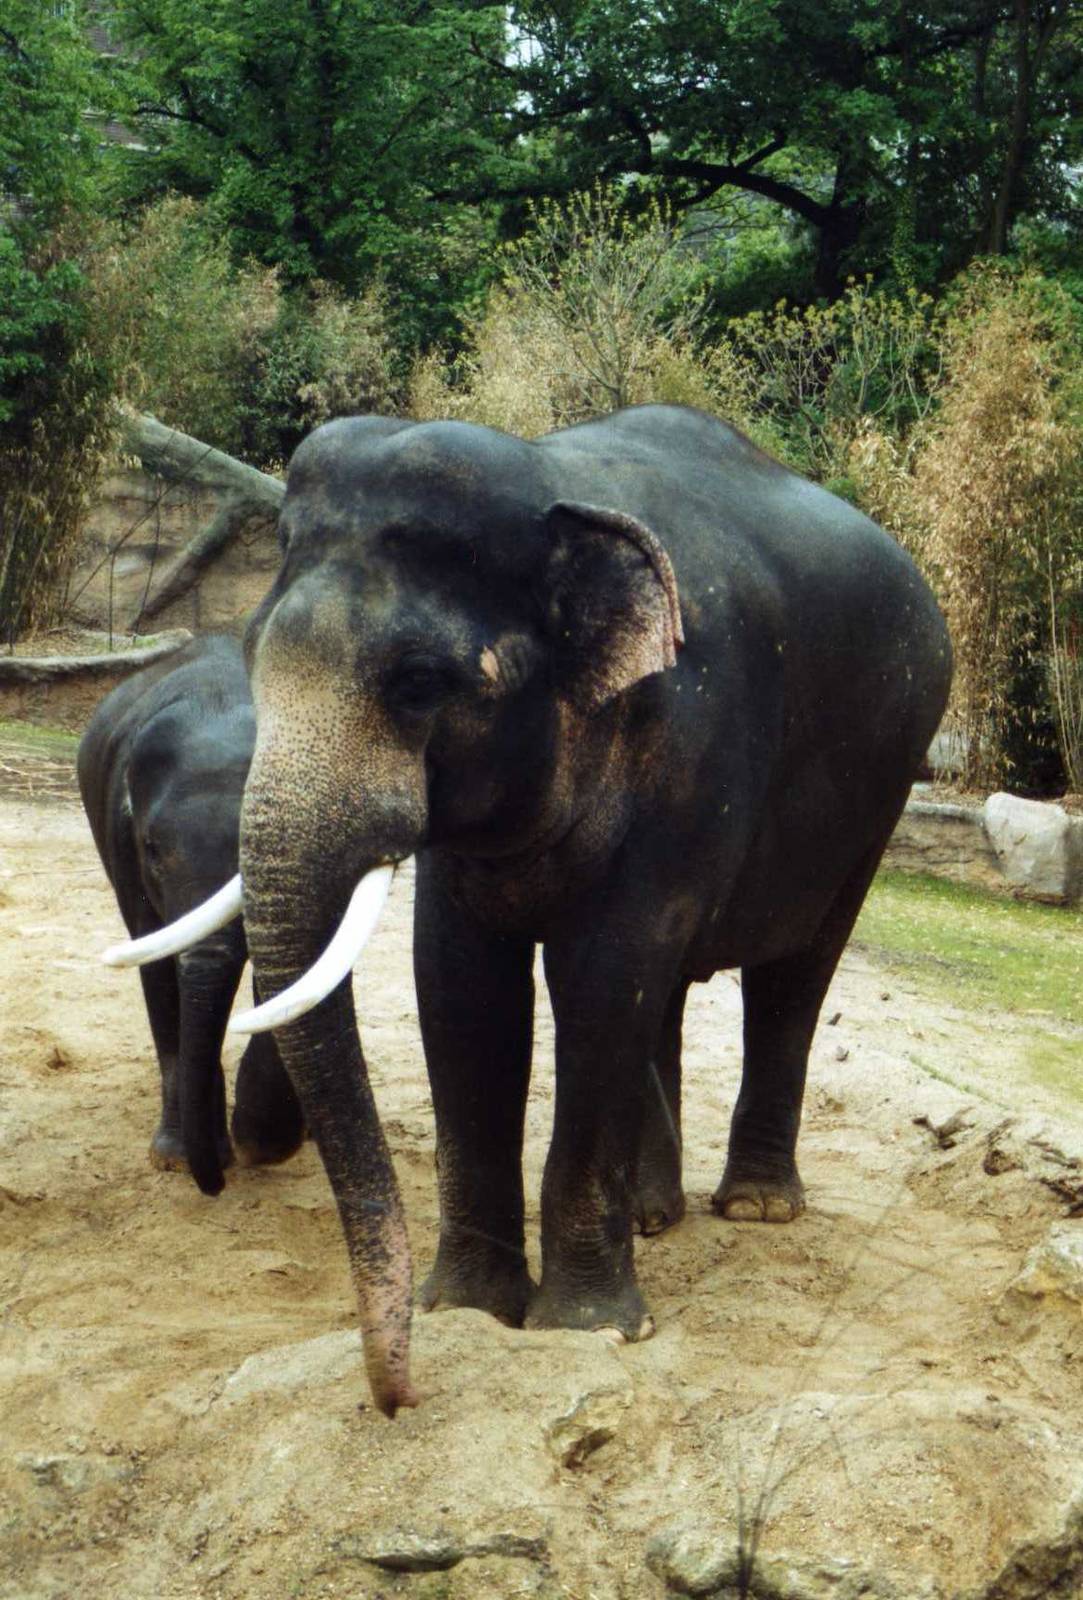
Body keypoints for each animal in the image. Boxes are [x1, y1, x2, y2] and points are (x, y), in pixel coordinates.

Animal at [79, 635, 303, 1195]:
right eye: (153, 849)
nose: (214, 1185)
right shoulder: (124, 850)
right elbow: (158, 966)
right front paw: (178, 1159)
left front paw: (263, 1144)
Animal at [108, 405, 952, 1415]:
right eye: (250, 654)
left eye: (418, 683)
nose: (397, 1398)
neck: (555, 485)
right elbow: (462, 986)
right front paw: (470, 1312)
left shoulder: (688, 751)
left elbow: (602, 981)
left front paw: (587, 1329)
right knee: (668, 994)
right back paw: (657, 1217)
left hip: (881, 795)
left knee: (791, 976)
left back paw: (754, 1208)